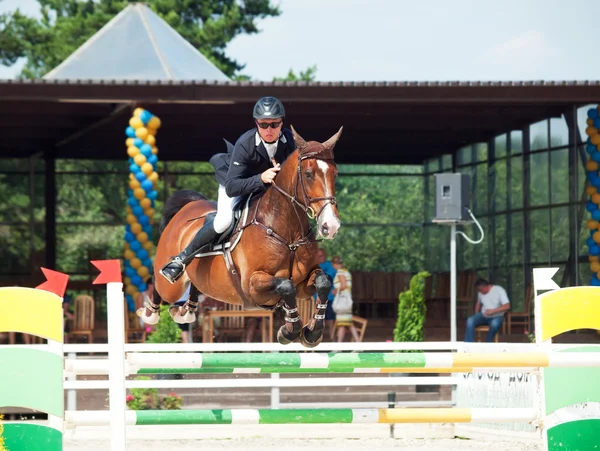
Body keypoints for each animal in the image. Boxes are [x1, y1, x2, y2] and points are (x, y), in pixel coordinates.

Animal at [137, 125, 342, 348]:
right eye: (308, 174)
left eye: (335, 174)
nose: (330, 226)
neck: (288, 234)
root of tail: (187, 207)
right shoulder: (252, 284)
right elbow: (286, 286)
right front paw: (289, 332)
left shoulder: (304, 284)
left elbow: (323, 282)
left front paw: (311, 333)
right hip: (170, 285)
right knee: (159, 282)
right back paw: (151, 310)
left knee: (195, 287)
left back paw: (186, 310)